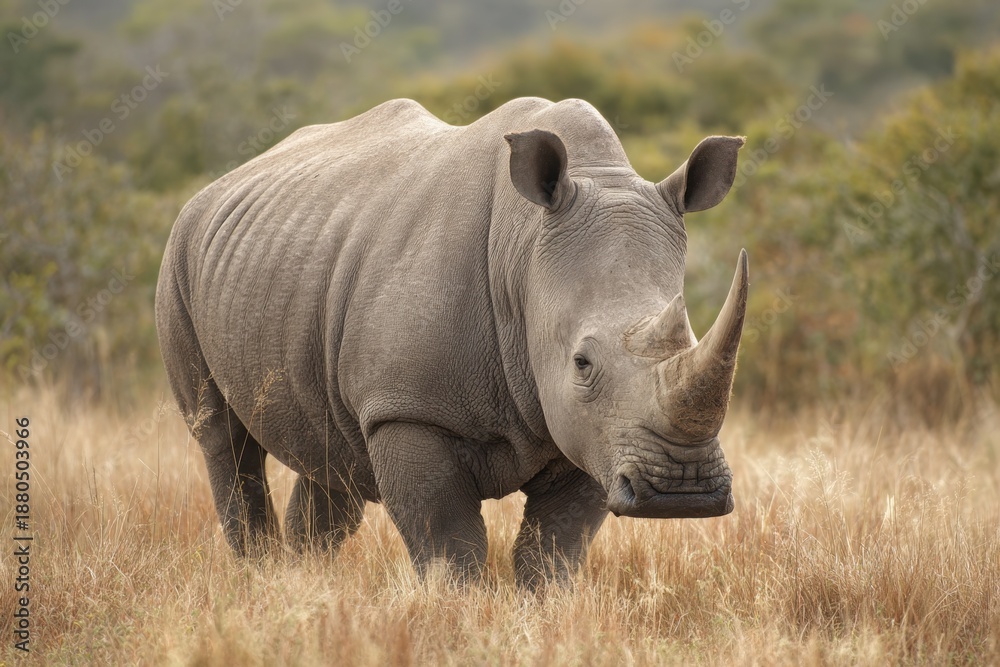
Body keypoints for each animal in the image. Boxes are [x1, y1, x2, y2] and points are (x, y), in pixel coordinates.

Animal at [155, 97, 749, 587]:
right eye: (581, 362)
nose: (682, 491)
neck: (523, 254)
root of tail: (212, 190)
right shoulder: (406, 408)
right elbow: (447, 541)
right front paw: (451, 610)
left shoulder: (591, 432)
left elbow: (555, 548)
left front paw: (544, 610)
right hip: (178, 257)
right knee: (224, 442)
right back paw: (257, 577)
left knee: (328, 455)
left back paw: (305, 582)